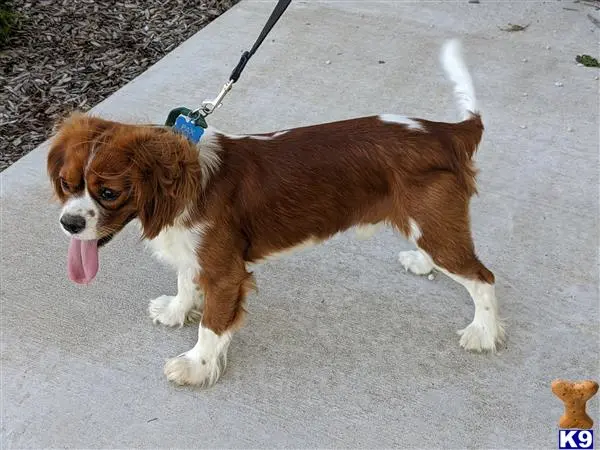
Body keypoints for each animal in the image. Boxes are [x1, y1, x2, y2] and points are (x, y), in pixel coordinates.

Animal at [48, 39, 506, 386]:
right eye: (68, 185)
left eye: (109, 192)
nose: (69, 223)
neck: (185, 183)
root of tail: (444, 132)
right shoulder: (194, 252)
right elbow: (184, 280)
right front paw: (178, 310)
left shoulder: (226, 272)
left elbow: (211, 325)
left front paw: (196, 366)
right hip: (427, 224)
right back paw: (422, 262)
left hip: (436, 227)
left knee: (482, 278)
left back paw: (483, 332)